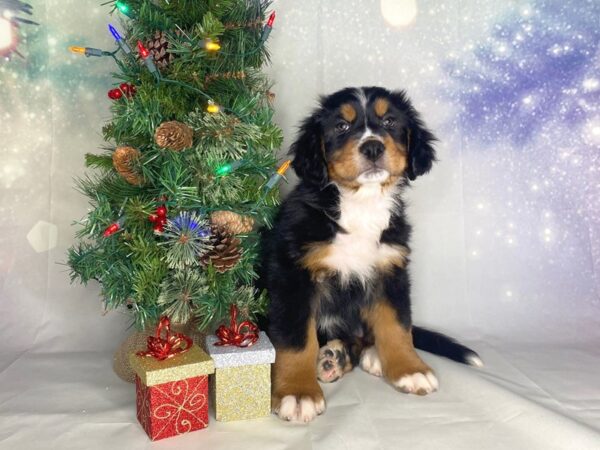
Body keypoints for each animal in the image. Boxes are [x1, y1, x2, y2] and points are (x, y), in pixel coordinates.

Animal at [260, 87, 480, 422]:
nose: (373, 146)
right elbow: (296, 338)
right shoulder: (292, 274)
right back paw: (331, 358)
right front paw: (297, 392)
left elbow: (397, 325)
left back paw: (353, 356)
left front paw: (409, 368)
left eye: (389, 121)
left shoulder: (391, 269)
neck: (361, 205)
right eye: (341, 126)